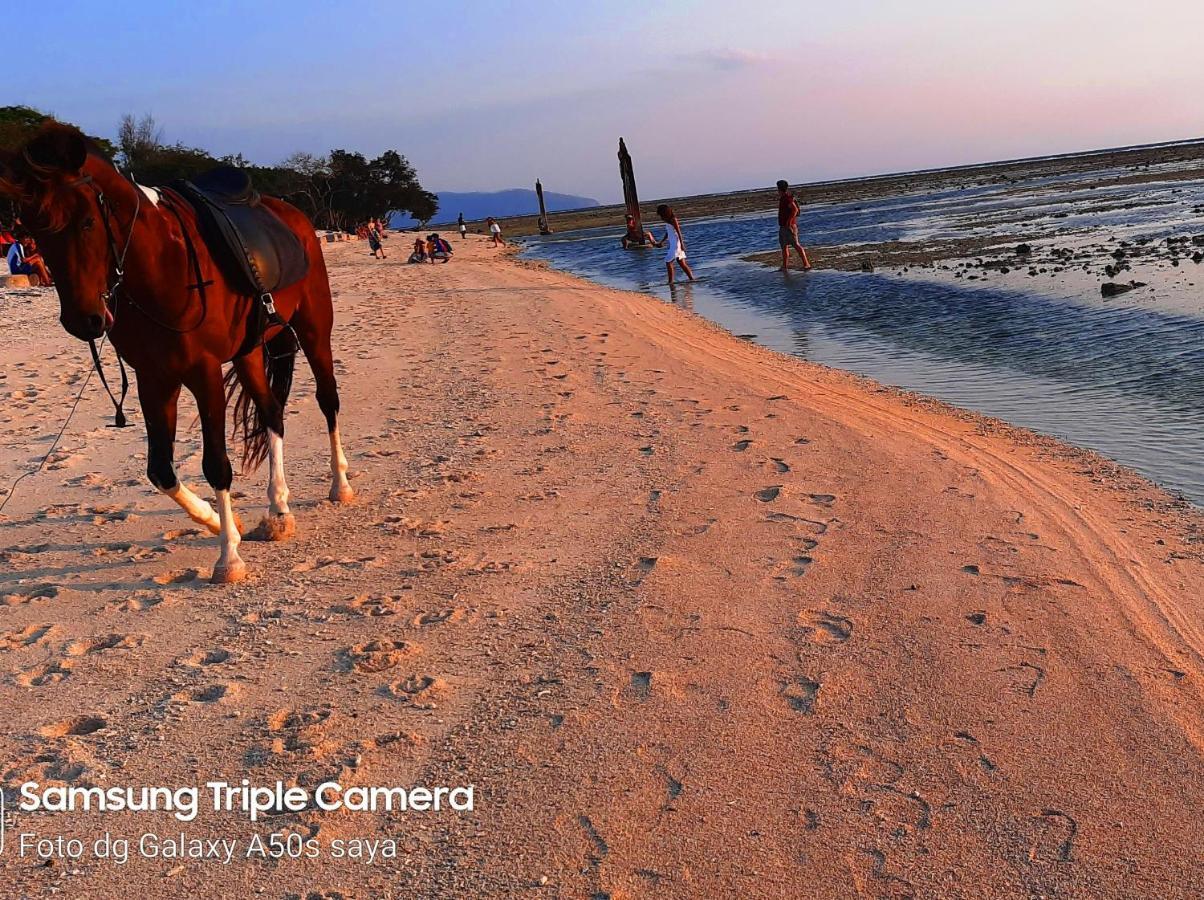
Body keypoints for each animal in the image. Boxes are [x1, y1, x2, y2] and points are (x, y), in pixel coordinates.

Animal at [1, 123, 351, 584]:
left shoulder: (203, 373)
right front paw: (221, 523)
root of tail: (293, 216)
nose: (85, 321)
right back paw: (278, 510)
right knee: (272, 412)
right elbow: (161, 470)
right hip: (249, 353)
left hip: (314, 329)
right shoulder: (155, 378)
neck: (162, 266)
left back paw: (340, 485)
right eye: (34, 233)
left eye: (88, 222)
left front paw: (228, 558)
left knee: (327, 400)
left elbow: (216, 463)